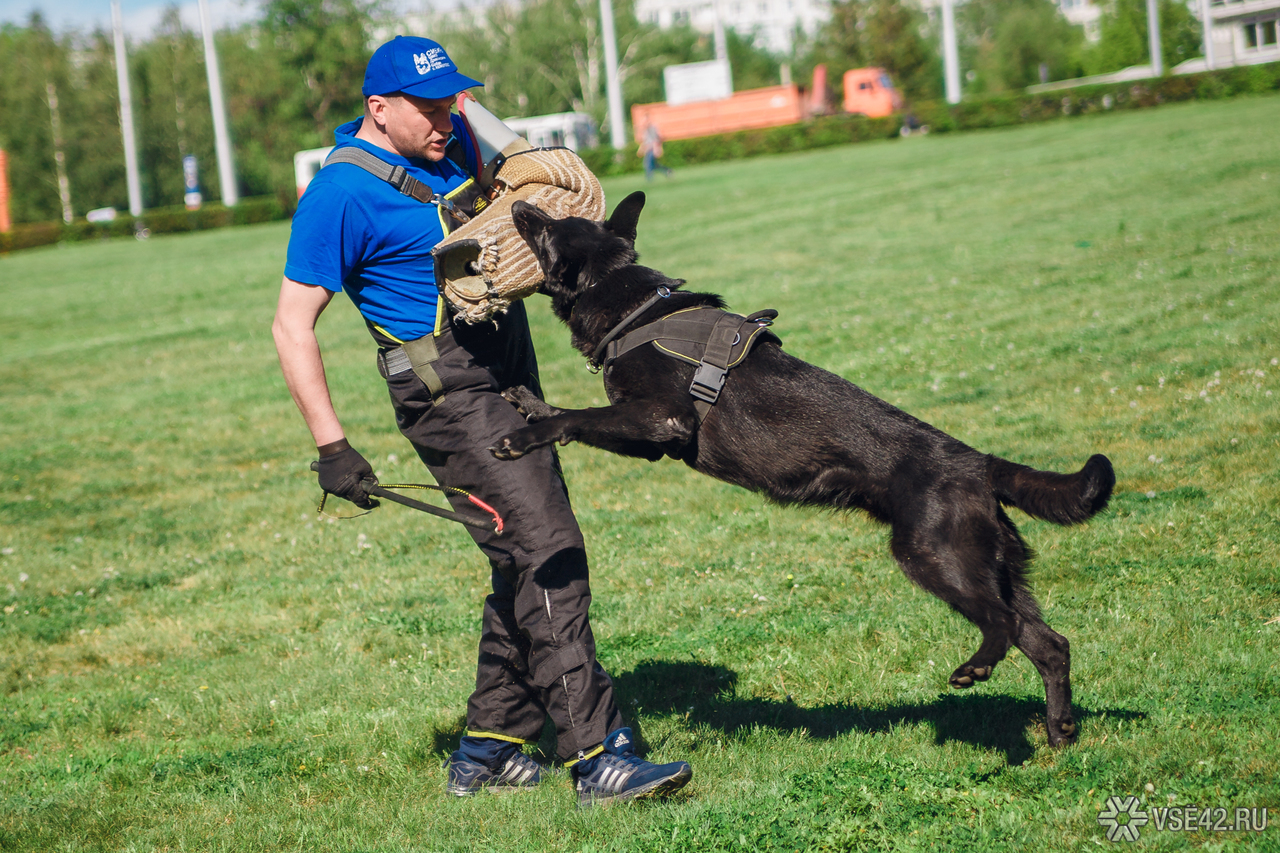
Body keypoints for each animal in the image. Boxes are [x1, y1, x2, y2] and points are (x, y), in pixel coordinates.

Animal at [494, 190, 1116, 742]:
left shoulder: (662, 421)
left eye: (546, 228)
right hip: (994, 567)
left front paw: (525, 435)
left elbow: (581, 416)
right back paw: (1060, 731)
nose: (514, 201)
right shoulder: (649, 437)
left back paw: (977, 668)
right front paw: (527, 402)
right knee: (1050, 644)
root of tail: (979, 464)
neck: (630, 306)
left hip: (934, 556)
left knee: (1002, 624)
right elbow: (573, 412)